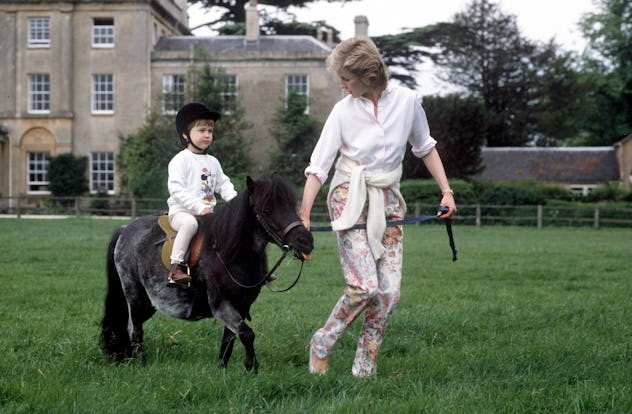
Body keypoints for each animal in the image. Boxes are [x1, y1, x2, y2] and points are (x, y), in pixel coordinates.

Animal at [100, 175, 314, 372]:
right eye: (267, 210)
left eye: (291, 206)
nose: (305, 241)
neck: (229, 253)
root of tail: (125, 230)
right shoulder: (221, 305)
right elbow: (246, 334)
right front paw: (251, 367)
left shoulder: (242, 306)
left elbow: (229, 339)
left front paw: (223, 370)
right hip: (135, 296)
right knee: (134, 329)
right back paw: (141, 365)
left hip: (148, 303)